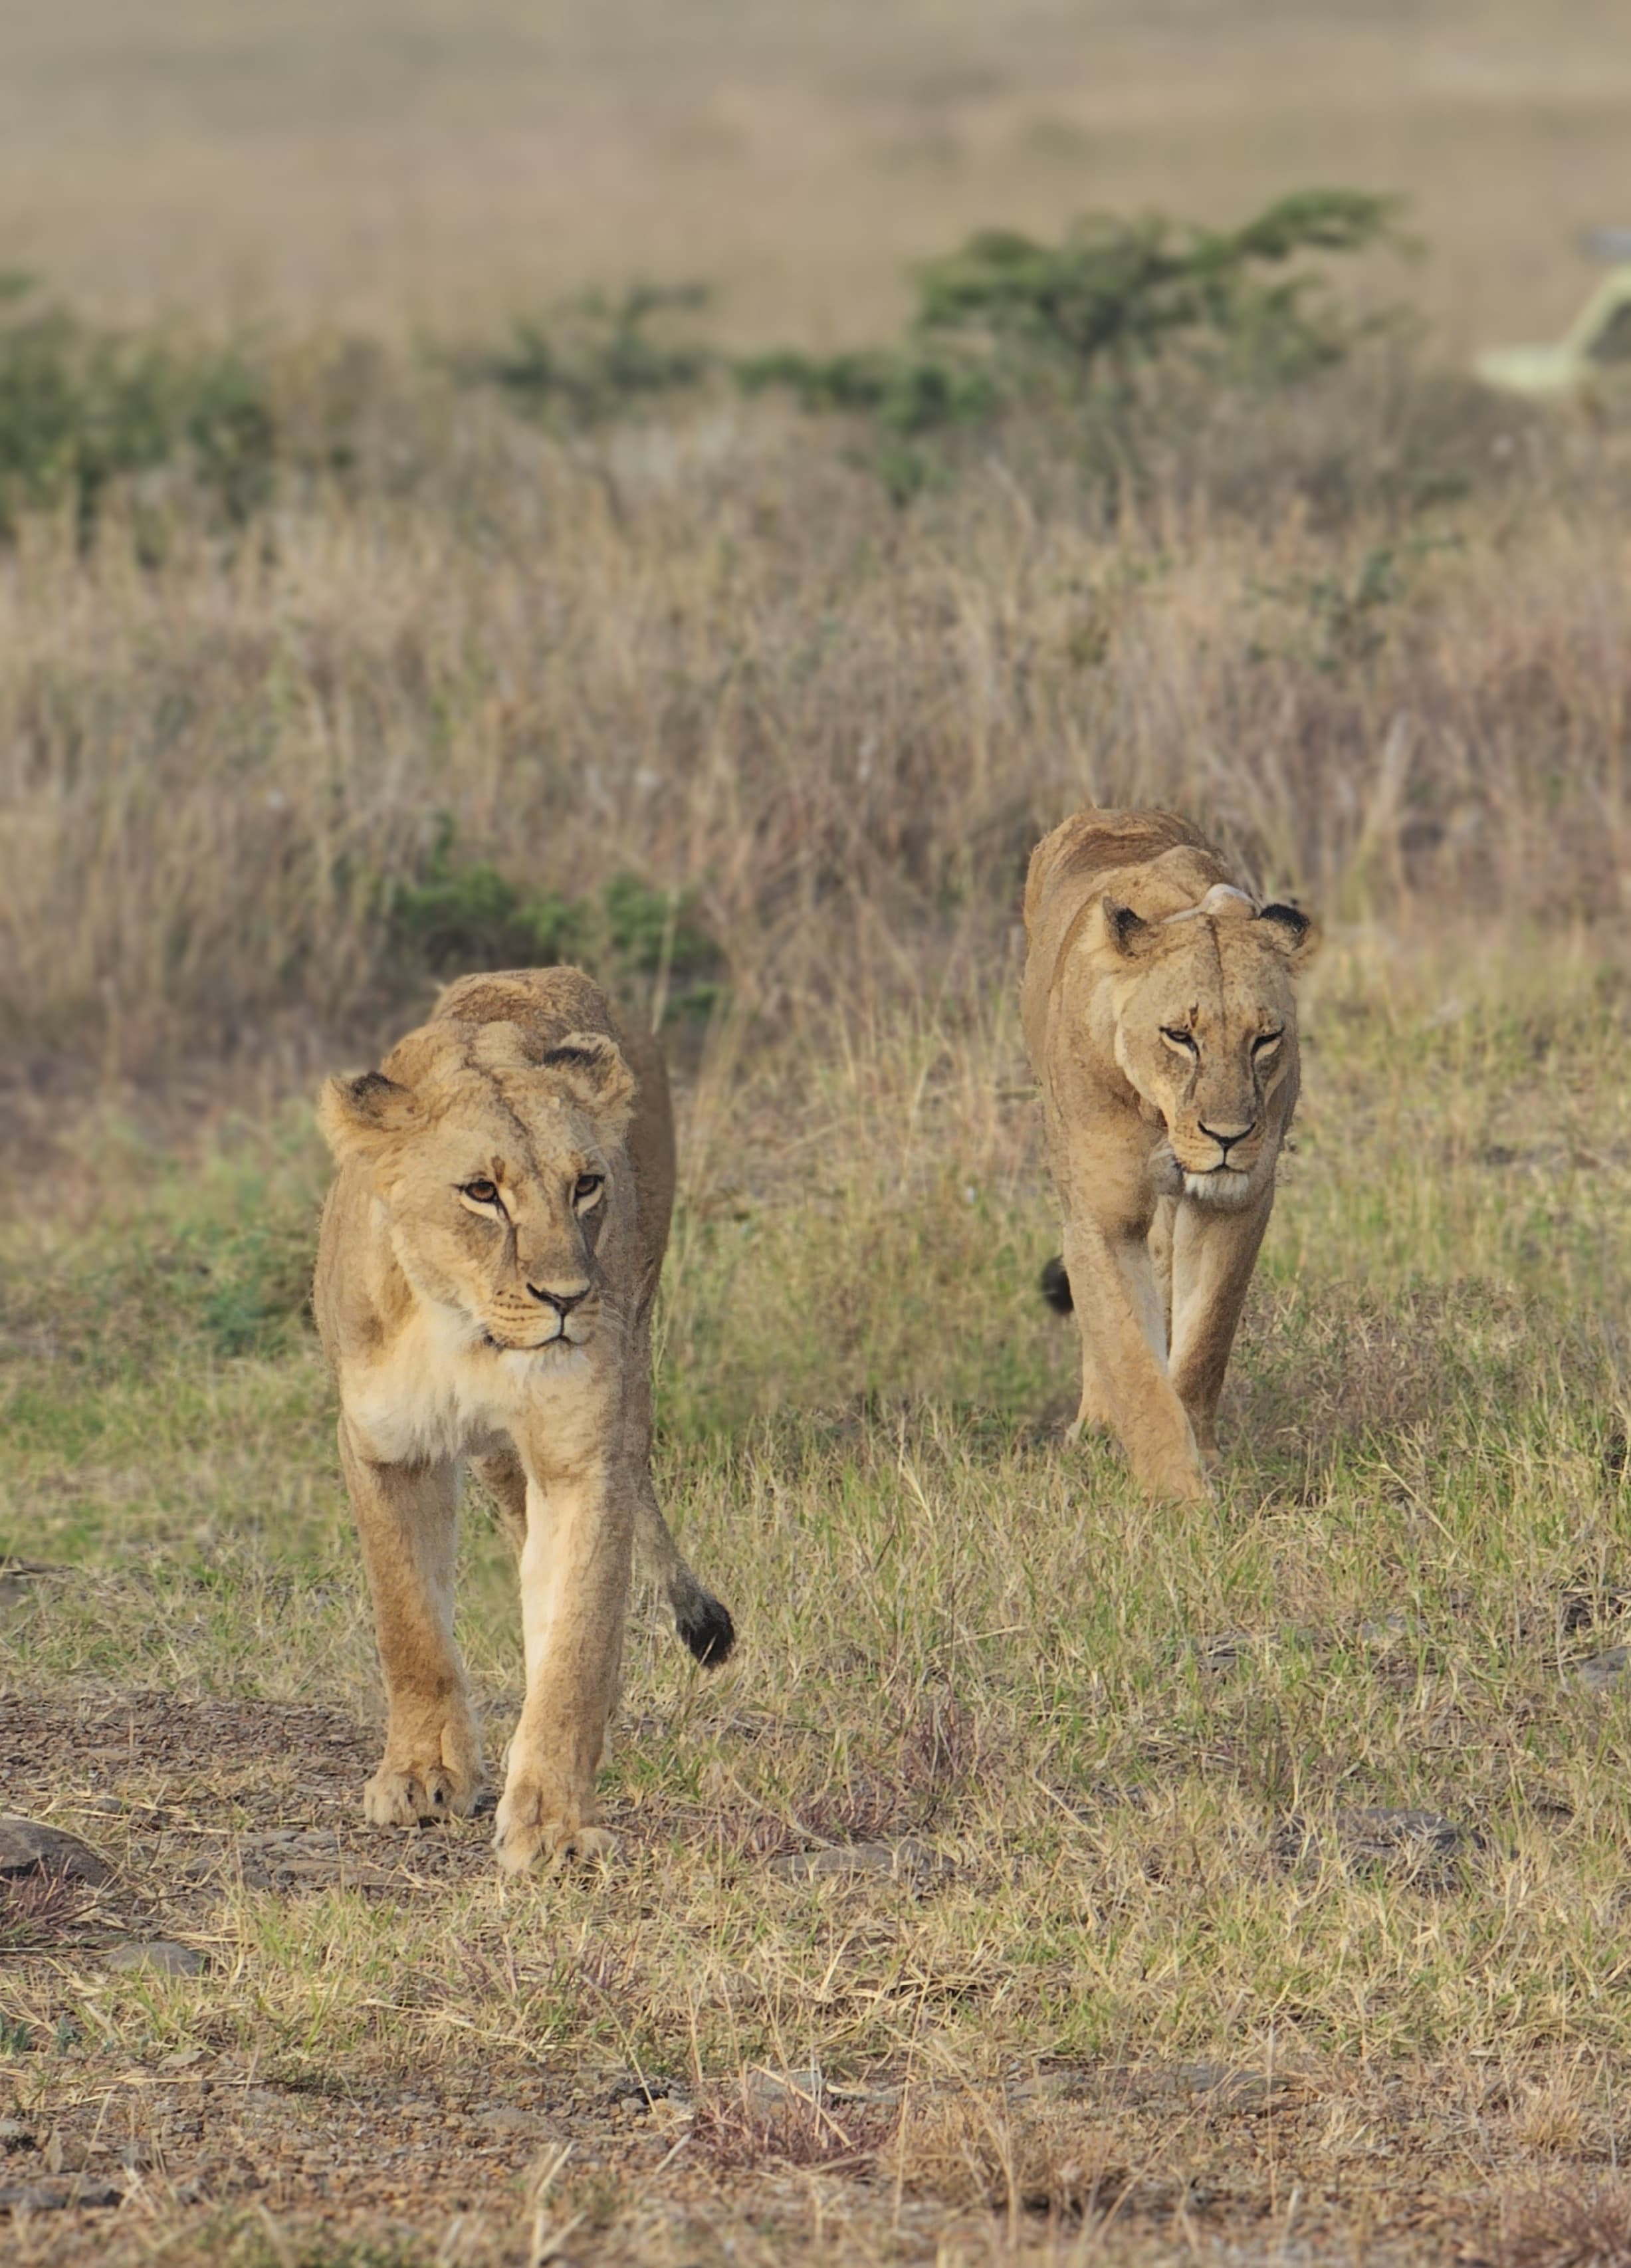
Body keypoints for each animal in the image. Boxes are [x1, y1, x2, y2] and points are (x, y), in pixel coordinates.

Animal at [313, 965, 733, 1871]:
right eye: (483, 1192)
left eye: (586, 1185)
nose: (569, 1299)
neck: (465, 1330)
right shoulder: (384, 1446)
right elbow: (409, 1622)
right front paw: (422, 1775)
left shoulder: (584, 1453)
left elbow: (577, 1639)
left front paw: (553, 1821)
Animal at [1021, 809, 1317, 1500]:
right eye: (1180, 1036)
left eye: (1266, 1038)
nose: (1229, 1136)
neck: (1160, 1117)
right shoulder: (1102, 1216)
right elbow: (1130, 1359)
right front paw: (1175, 1495)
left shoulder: (1238, 1201)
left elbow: (1206, 1337)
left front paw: (1202, 1459)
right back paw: (1095, 1429)